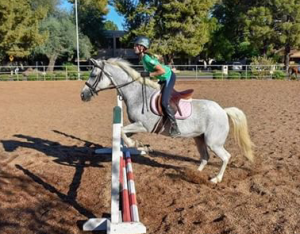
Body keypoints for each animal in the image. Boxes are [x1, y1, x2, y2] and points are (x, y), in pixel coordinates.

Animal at [81, 58, 254, 183]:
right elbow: (123, 134)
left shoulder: (143, 126)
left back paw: (216, 179)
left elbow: (123, 132)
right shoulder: (135, 126)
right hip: (199, 138)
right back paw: (194, 174)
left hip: (214, 142)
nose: (83, 95)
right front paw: (139, 145)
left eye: (93, 75)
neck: (136, 94)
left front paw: (136, 145)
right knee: (205, 157)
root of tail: (223, 111)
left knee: (225, 157)